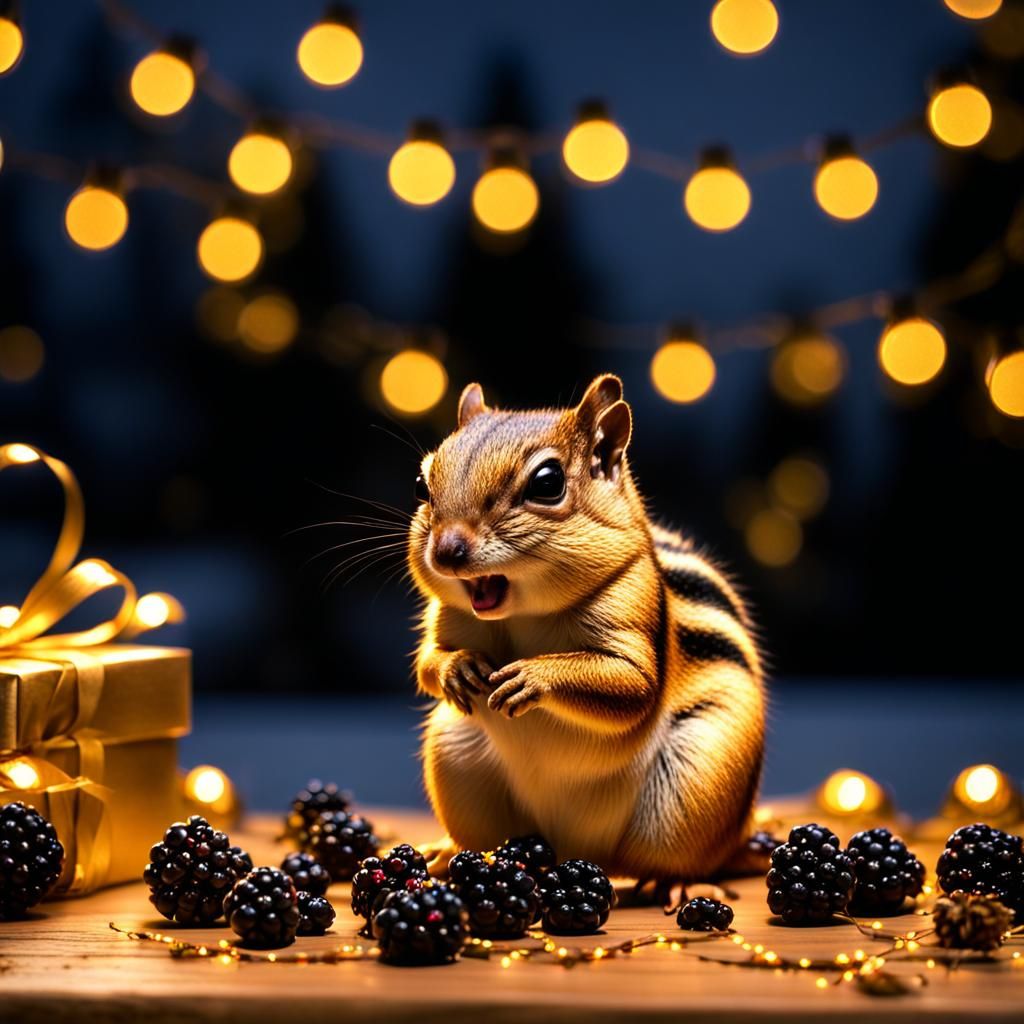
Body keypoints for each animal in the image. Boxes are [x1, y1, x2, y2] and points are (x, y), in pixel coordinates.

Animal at [408, 374, 765, 885]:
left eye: (547, 483)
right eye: (422, 484)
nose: (446, 551)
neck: (523, 615)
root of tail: (578, 847)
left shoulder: (632, 607)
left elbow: (632, 686)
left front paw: (533, 675)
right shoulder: (446, 616)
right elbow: (427, 660)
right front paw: (458, 667)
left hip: (700, 776)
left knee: (688, 859)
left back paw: (669, 882)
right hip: (454, 757)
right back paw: (450, 854)